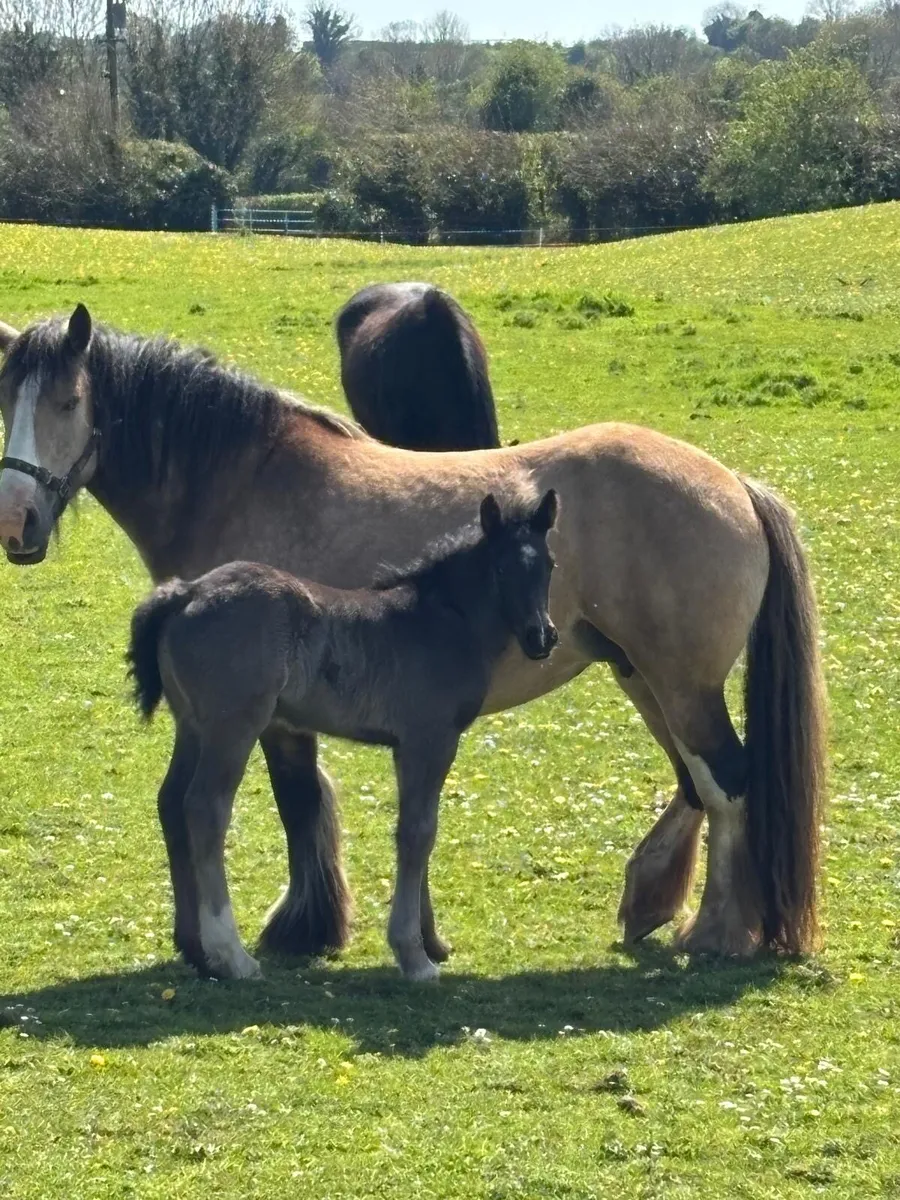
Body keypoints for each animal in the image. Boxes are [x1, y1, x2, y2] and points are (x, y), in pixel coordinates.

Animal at [126, 489, 559, 981]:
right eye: (501, 568)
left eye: (549, 564)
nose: (541, 637)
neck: (444, 618)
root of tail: (187, 591)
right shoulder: (429, 741)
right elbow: (418, 833)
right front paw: (414, 956)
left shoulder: (411, 748)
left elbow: (416, 831)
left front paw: (431, 942)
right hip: (232, 727)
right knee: (204, 809)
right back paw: (232, 954)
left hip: (192, 726)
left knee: (171, 803)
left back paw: (195, 949)